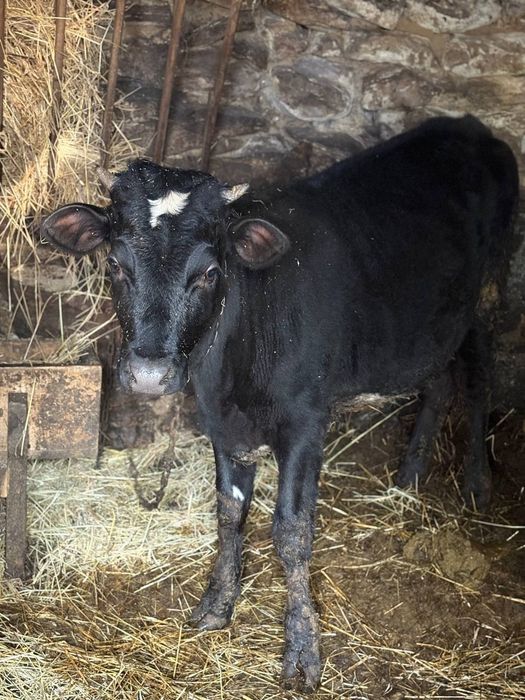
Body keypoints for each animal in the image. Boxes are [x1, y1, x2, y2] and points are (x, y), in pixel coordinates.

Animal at [41, 116, 519, 692]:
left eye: (210, 272)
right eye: (114, 263)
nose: (150, 374)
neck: (237, 369)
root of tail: (469, 126)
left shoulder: (306, 422)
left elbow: (291, 532)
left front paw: (303, 651)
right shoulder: (221, 422)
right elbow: (229, 512)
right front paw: (217, 604)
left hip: (489, 295)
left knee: (479, 378)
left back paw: (476, 483)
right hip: (430, 326)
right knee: (441, 381)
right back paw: (408, 477)